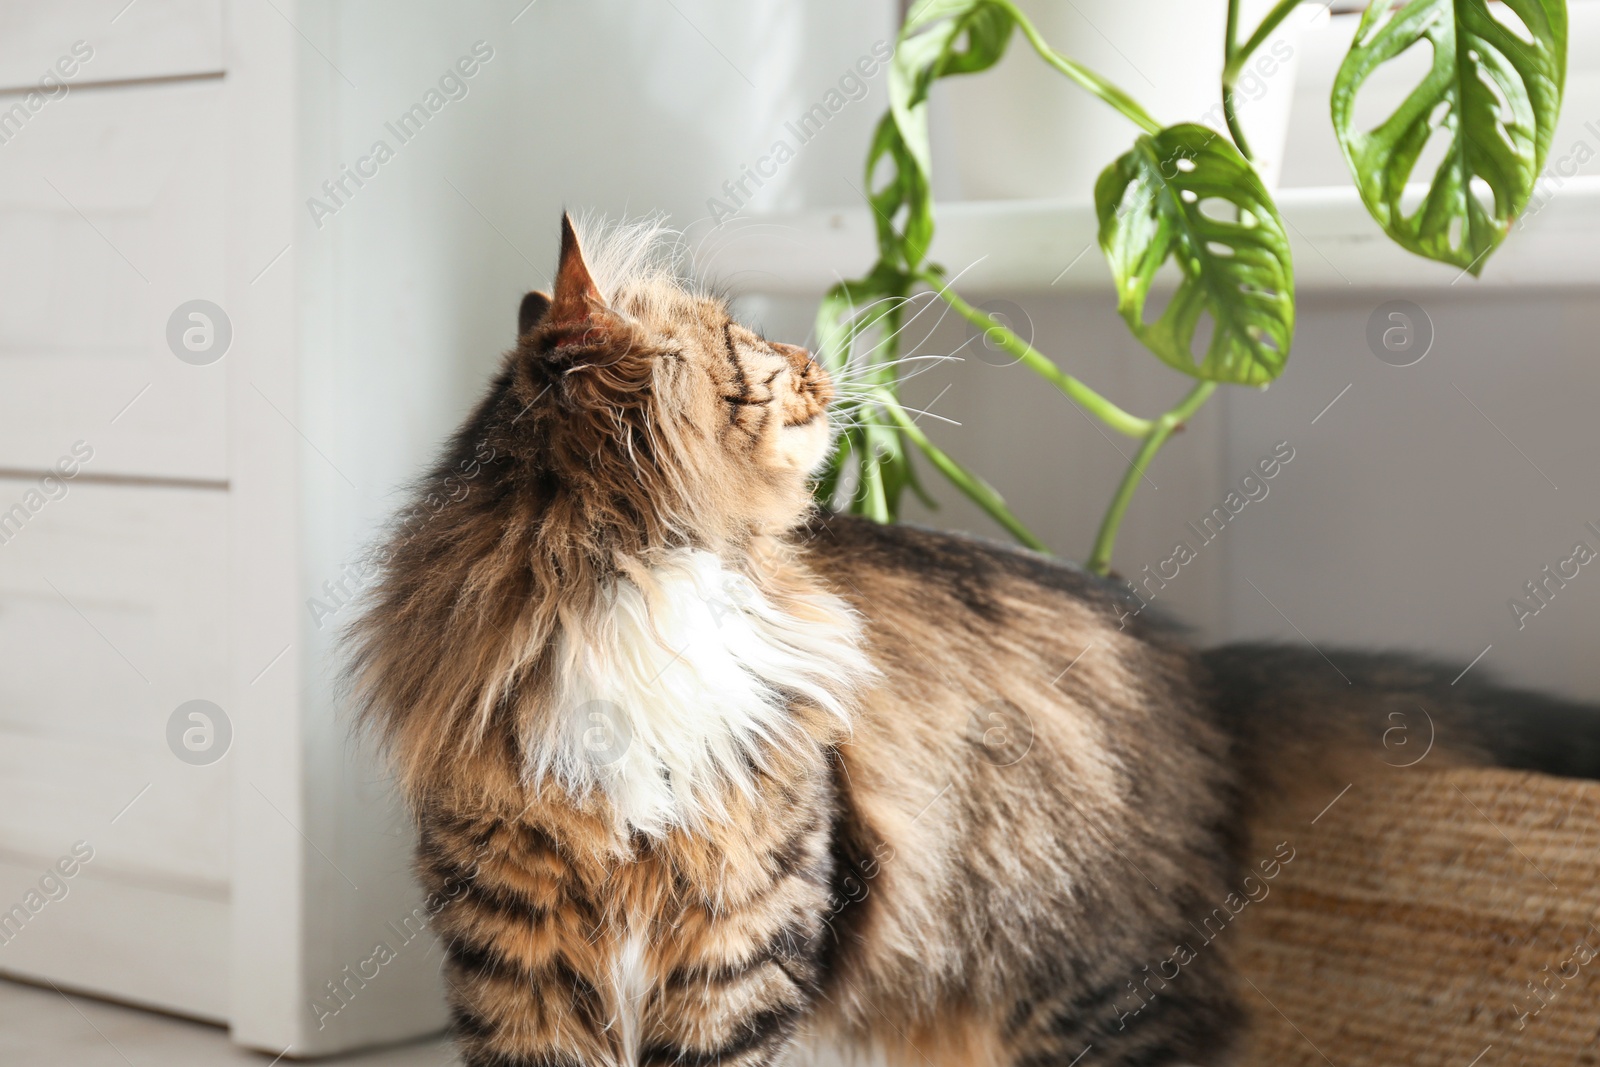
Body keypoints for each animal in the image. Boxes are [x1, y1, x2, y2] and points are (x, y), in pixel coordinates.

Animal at [353, 212, 1600, 1062]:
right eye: (748, 343)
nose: (818, 364)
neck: (636, 587)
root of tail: (1184, 657)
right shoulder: (516, 946)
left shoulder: (747, 930)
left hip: (1090, 989)